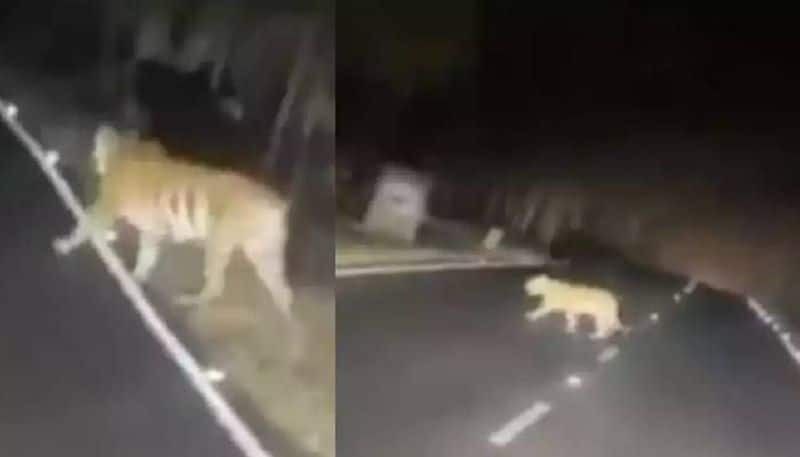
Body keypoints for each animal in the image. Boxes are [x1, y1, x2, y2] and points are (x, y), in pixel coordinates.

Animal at [51, 124, 298, 334]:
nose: (93, 156)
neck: (125, 151)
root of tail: (278, 204)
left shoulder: (106, 208)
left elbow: (84, 226)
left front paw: (65, 244)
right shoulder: (152, 230)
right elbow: (146, 257)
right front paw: (136, 278)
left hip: (219, 245)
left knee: (216, 285)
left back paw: (190, 301)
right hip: (264, 256)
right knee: (284, 293)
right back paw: (289, 331)